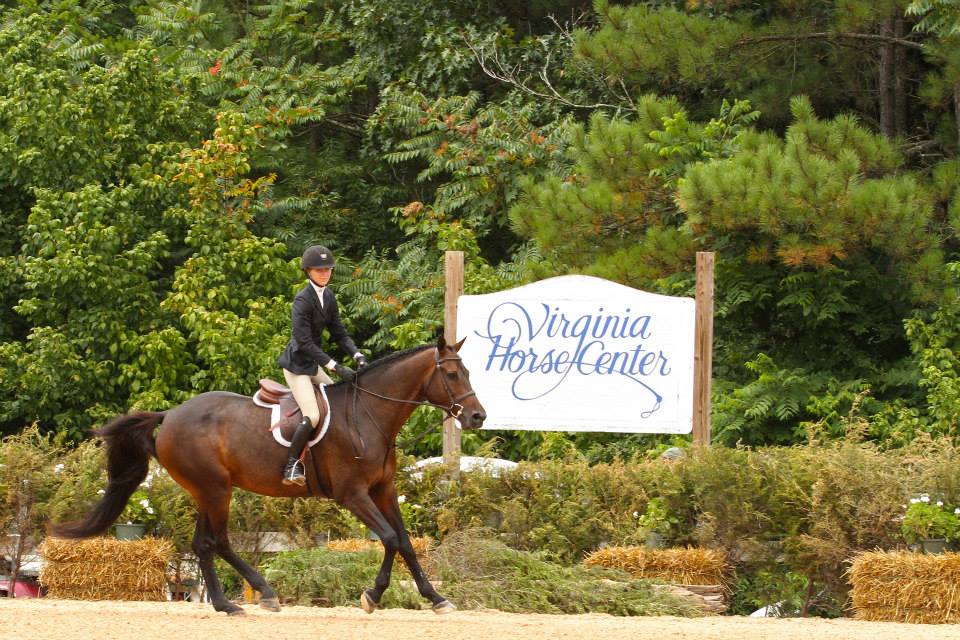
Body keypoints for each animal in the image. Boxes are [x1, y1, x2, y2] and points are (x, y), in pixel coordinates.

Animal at [52, 336, 488, 616]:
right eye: (452, 376)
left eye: (467, 371)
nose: (477, 416)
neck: (370, 414)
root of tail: (170, 414)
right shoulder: (353, 494)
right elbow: (391, 539)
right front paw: (372, 595)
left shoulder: (383, 490)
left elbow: (407, 544)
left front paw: (436, 598)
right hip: (216, 490)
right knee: (218, 541)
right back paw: (255, 596)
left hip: (207, 491)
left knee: (203, 543)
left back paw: (231, 602)